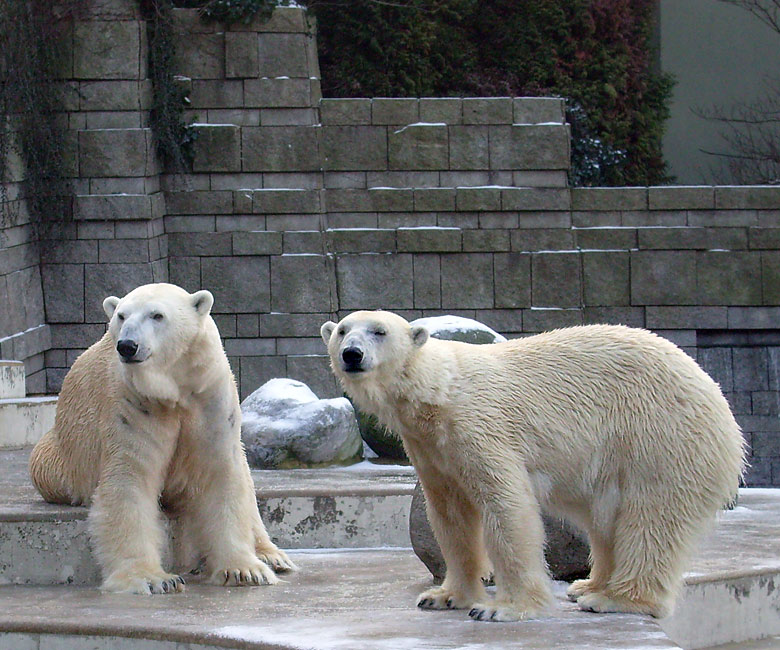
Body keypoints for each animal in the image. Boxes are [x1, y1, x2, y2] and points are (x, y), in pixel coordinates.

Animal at [29, 282, 294, 592]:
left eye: (157, 315)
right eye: (121, 316)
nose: (127, 345)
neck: (173, 388)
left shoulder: (209, 396)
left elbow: (221, 473)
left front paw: (245, 570)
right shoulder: (133, 404)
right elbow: (130, 481)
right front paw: (153, 579)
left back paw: (272, 555)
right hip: (58, 459)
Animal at [320, 312, 748, 620]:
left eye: (379, 331)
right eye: (342, 331)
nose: (352, 354)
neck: (437, 392)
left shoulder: (480, 425)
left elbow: (506, 506)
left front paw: (502, 608)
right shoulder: (429, 447)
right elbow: (449, 515)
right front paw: (444, 596)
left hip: (660, 438)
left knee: (652, 519)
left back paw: (616, 599)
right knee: (606, 521)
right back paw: (588, 586)